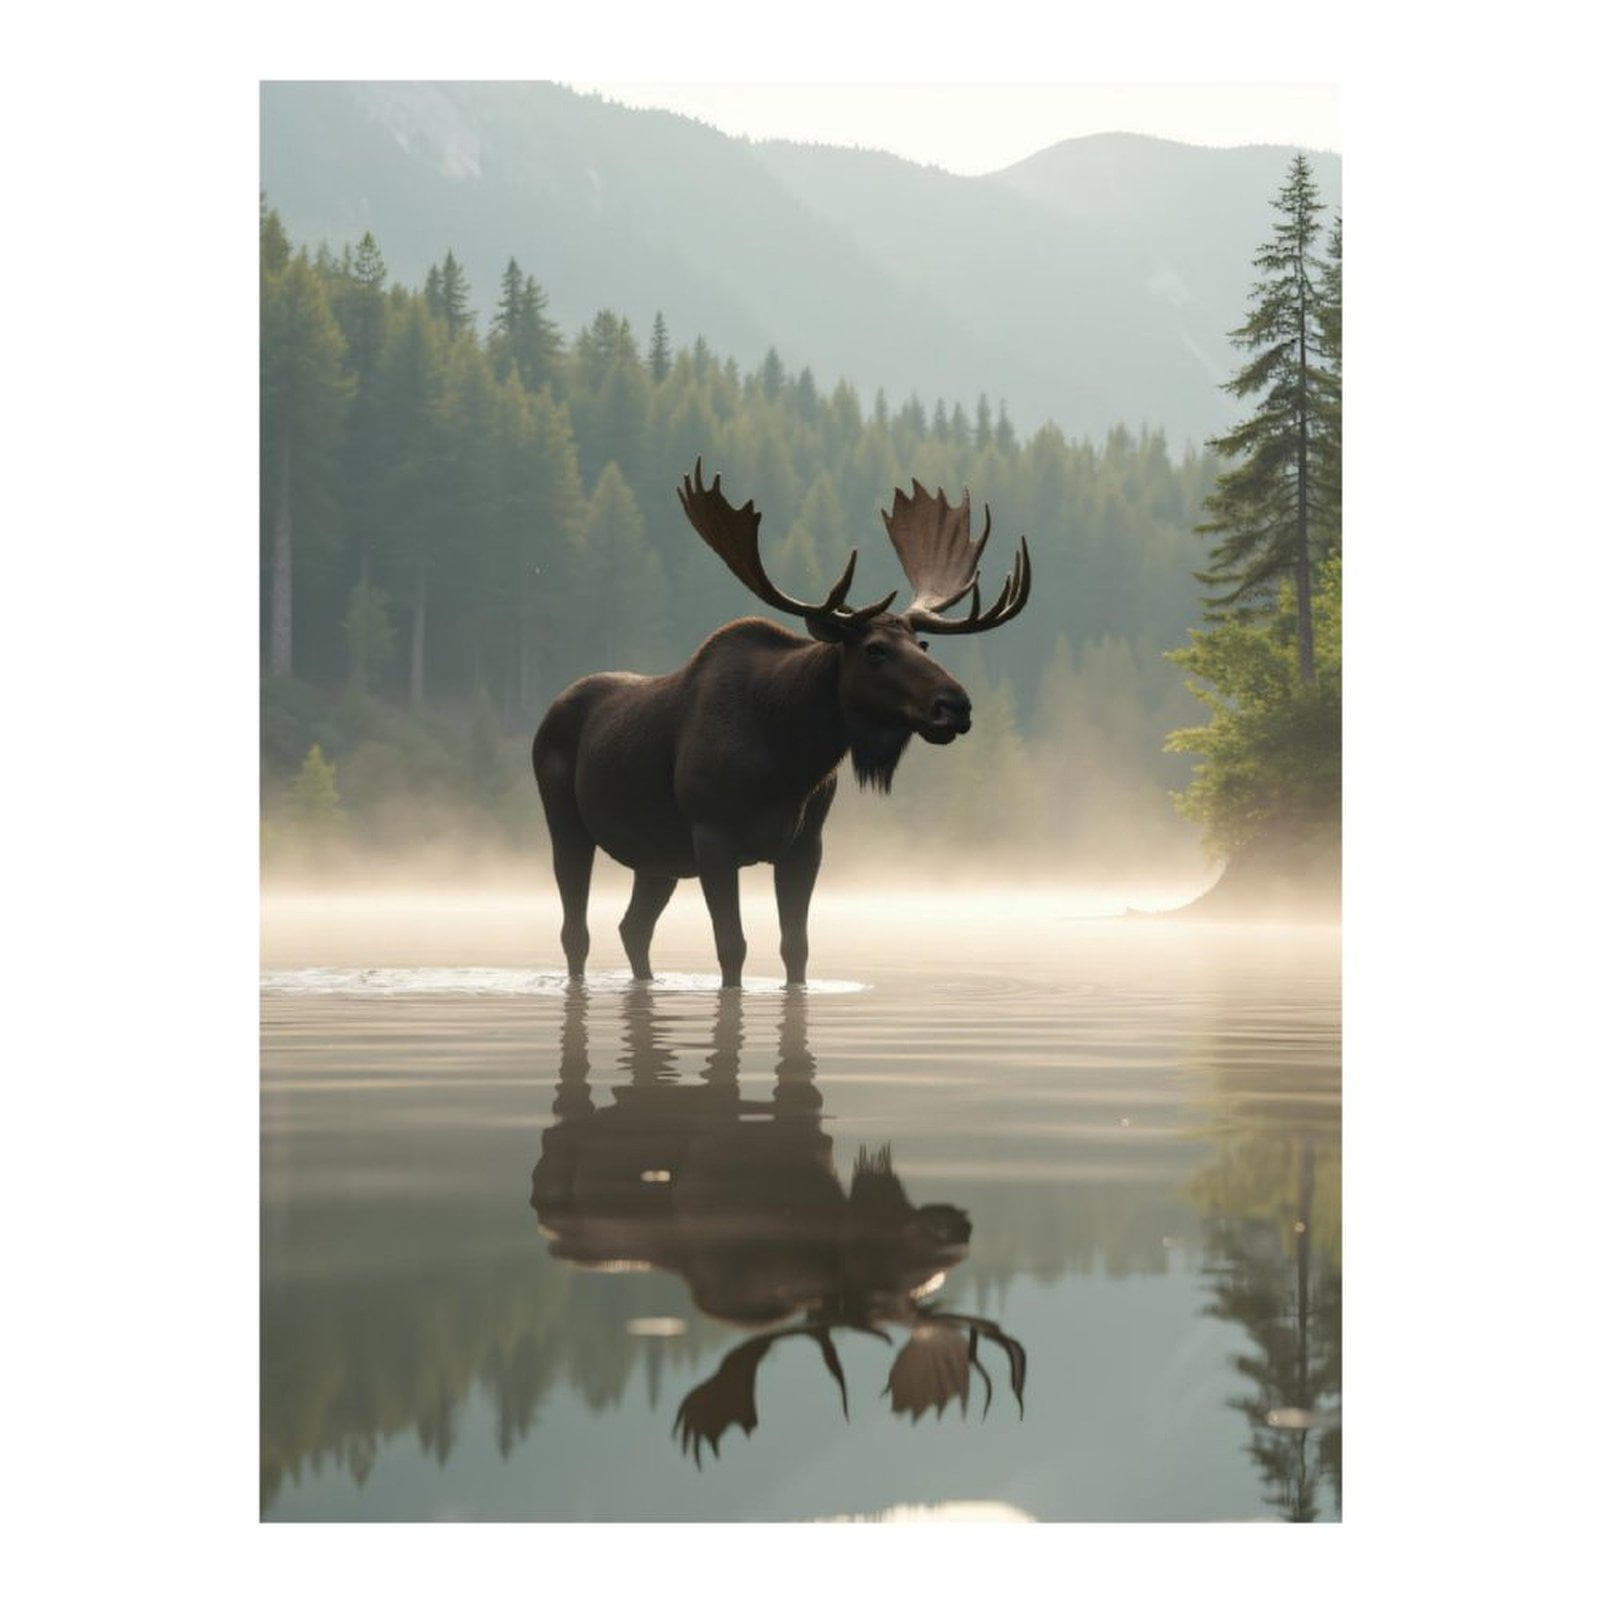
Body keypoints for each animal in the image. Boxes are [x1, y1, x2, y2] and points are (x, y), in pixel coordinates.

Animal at [532, 460, 1031, 988]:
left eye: (924, 645)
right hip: (567, 825)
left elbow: (796, 948)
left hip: (657, 857)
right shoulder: (711, 837)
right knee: (576, 932)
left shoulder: (804, 846)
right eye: (874, 649)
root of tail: (549, 713)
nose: (955, 705)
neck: (788, 758)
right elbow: (732, 947)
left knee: (633, 928)